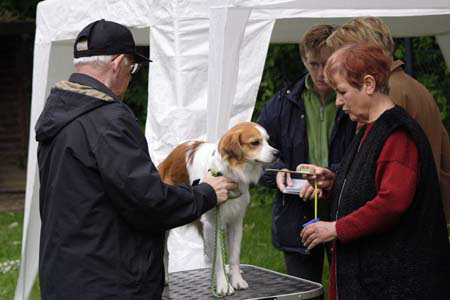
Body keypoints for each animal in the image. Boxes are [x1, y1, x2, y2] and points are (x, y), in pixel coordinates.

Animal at [157, 121, 278, 296]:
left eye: (268, 140)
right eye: (255, 142)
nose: (277, 153)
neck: (229, 172)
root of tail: (165, 162)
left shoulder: (235, 221)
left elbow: (234, 256)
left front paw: (236, 280)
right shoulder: (212, 224)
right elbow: (218, 259)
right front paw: (223, 285)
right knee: (165, 253)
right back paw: (165, 277)